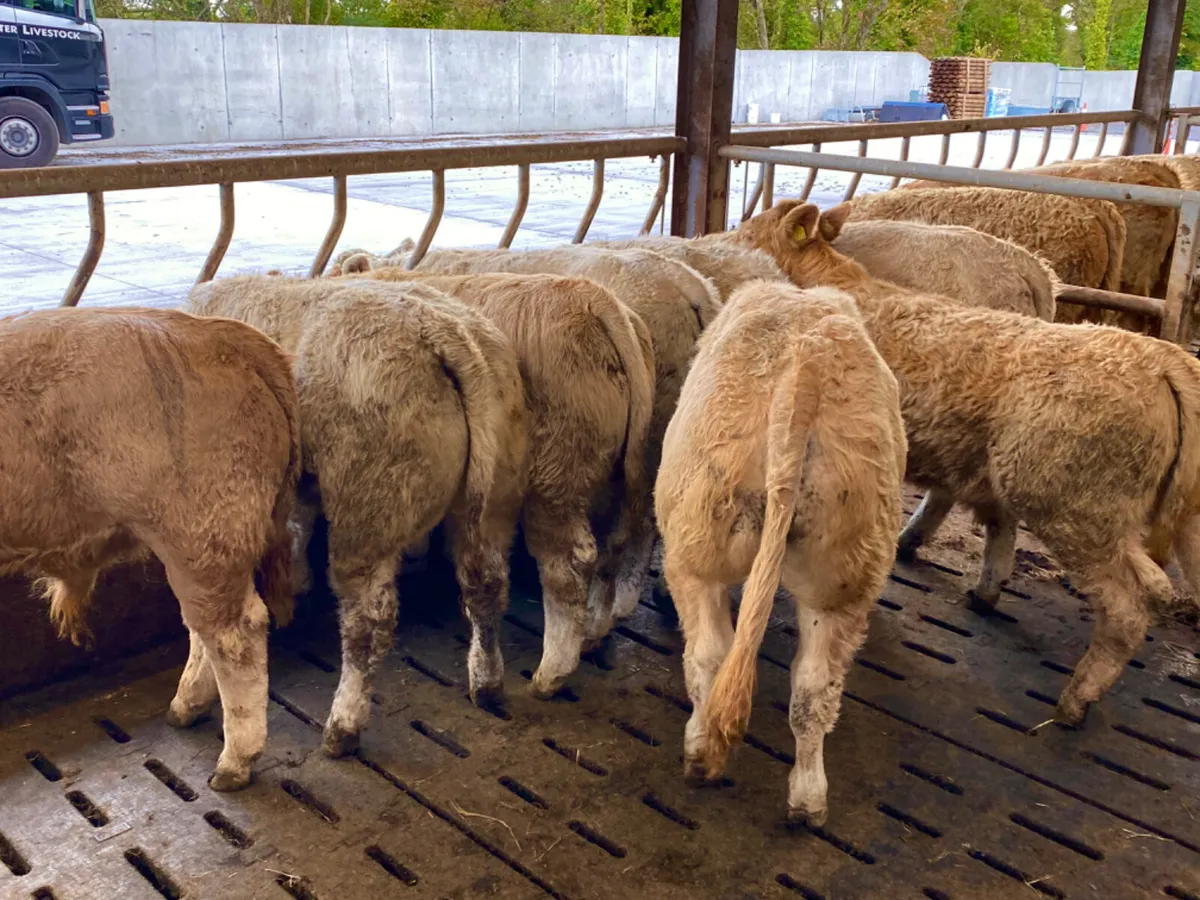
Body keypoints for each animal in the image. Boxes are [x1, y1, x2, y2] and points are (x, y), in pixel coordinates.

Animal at [0, 309, 300, 787]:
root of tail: (211, 330)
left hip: (203, 529)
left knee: (235, 633)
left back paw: (234, 763)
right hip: (200, 542)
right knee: (203, 627)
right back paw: (184, 708)